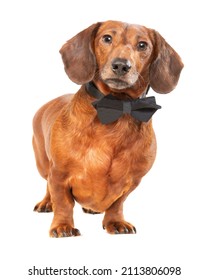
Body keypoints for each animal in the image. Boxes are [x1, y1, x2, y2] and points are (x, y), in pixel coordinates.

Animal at [32, 20, 184, 237]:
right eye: (107, 38)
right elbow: (63, 202)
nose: (121, 65)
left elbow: (117, 203)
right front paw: (63, 226)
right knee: (47, 185)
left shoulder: (132, 181)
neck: (116, 106)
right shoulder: (59, 175)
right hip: (44, 164)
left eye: (143, 45)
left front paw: (115, 222)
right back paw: (46, 202)